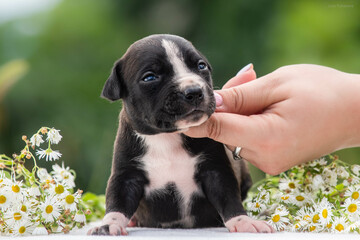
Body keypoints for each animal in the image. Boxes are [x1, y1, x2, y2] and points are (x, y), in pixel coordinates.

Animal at [89, 34, 272, 235]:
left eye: (201, 66)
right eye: (150, 77)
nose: (194, 91)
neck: (166, 136)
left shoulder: (215, 171)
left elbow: (229, 197)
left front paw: (243, 221)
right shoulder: (126, 175)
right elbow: (117, 202)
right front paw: (109, 224)